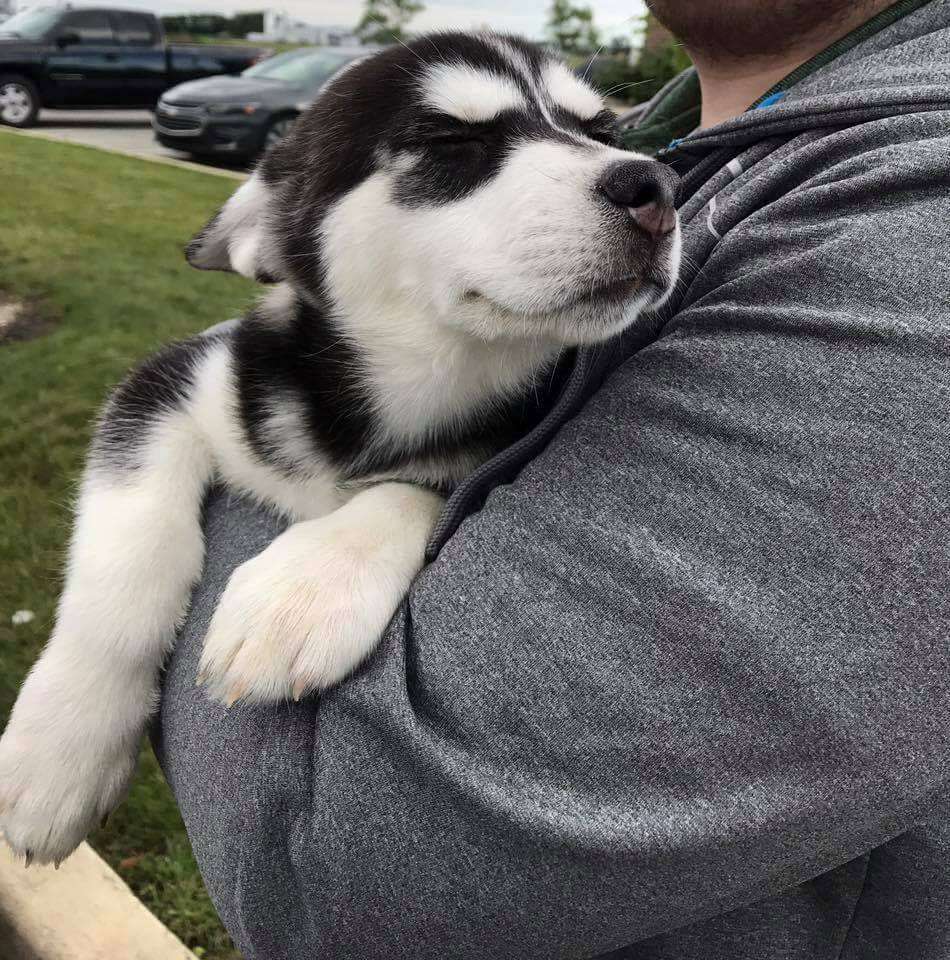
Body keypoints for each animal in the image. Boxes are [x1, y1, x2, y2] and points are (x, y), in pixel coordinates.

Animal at [0, 33, 680, 868]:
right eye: (450, 141)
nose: (656, 186)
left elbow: (411, 489)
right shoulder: (180, 380)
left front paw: (307, 587)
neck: (411, 388)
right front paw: (63, 746)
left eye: (602, 132)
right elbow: (133, 559)